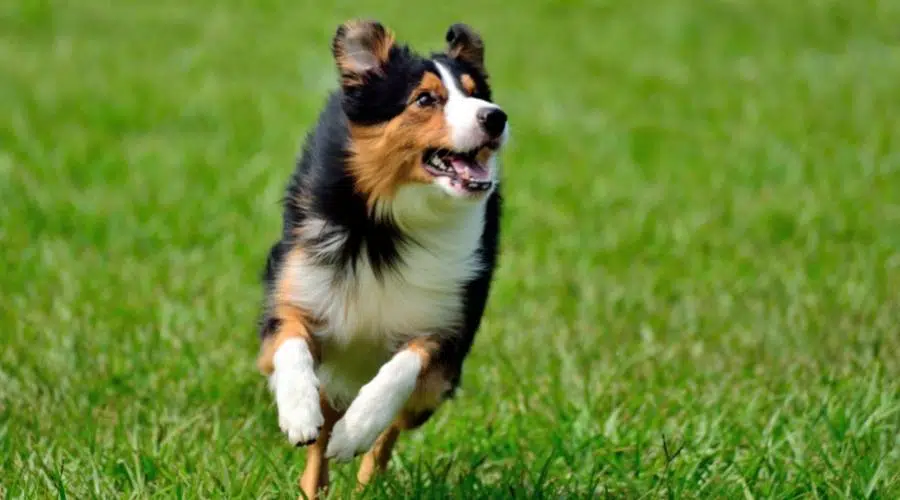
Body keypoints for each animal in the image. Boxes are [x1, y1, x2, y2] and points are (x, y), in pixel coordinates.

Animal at [255, 18, 506, 496]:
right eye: (425, 99)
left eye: (477, 93)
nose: (496, 116)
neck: (388, 222)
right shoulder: (297, 290)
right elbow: (290, 342)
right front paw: (297, 412)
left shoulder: (446, 327)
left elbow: (399, 372)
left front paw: (356, 431)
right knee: (322, 431)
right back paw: (314, 484)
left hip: (433, 391)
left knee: (394, 426)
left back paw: (366, 477)